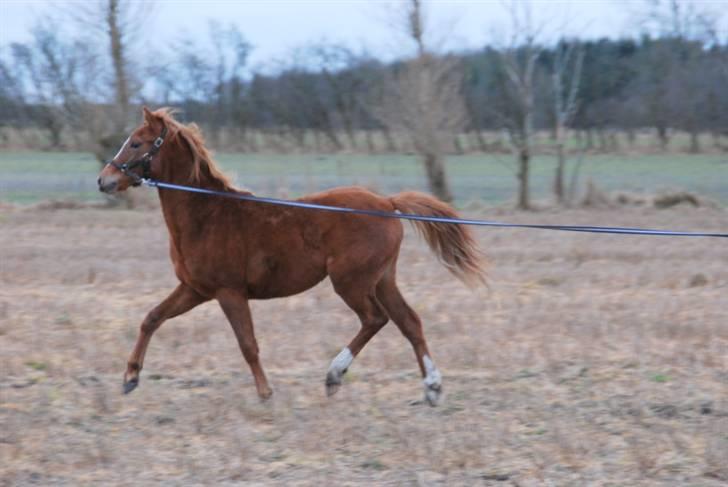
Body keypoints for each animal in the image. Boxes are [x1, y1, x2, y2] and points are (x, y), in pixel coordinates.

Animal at [96, 107, 484, 408]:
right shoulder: (195, 289)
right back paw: (432, 388)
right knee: (409, 322)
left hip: (351, 282)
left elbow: (248, 344)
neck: (207, 216)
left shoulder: (228, 292)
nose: (104, 180)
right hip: (382, 279)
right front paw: (130, 377)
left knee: (375, 319)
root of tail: (388, 203)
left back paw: (334, 376)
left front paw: (266, 394)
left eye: (136, 142)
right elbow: (152, 318)